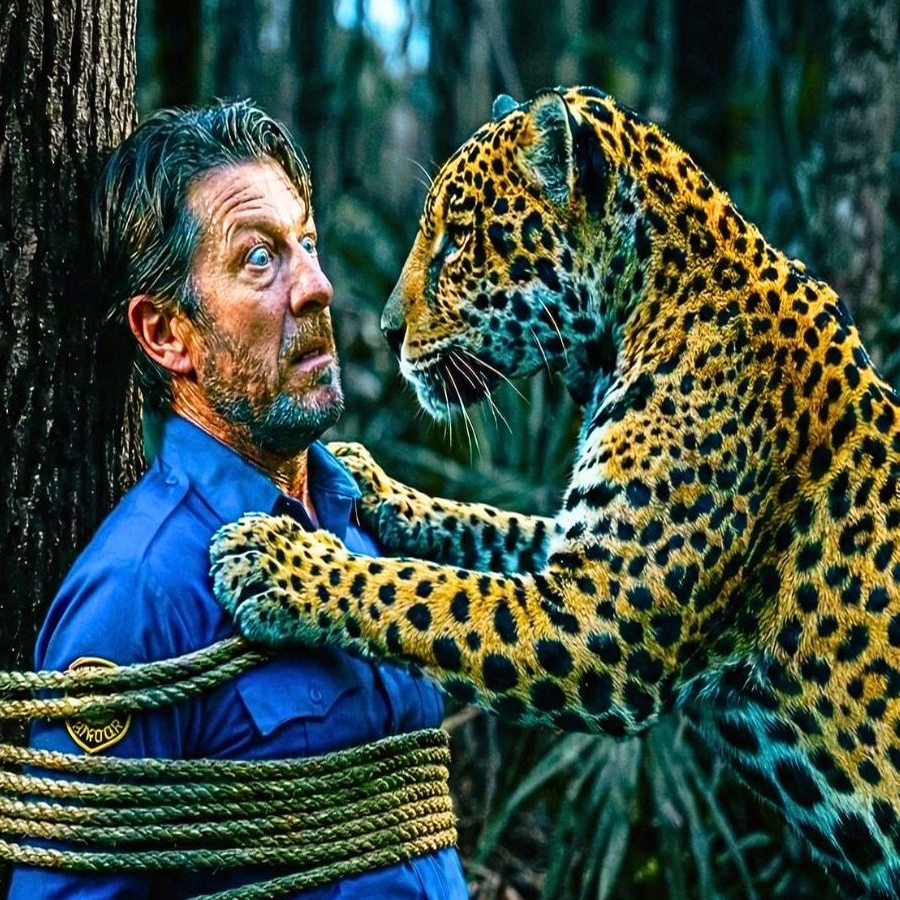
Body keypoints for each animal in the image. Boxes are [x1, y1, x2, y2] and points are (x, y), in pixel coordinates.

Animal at [210, 86, 900, 897]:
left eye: (457, 242)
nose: (383, 333)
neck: (643, 314)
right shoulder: (579, 544)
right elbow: (483, 524)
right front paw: (370, 480)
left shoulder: (607, 614)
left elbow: (424, 591)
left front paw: (276, 561)